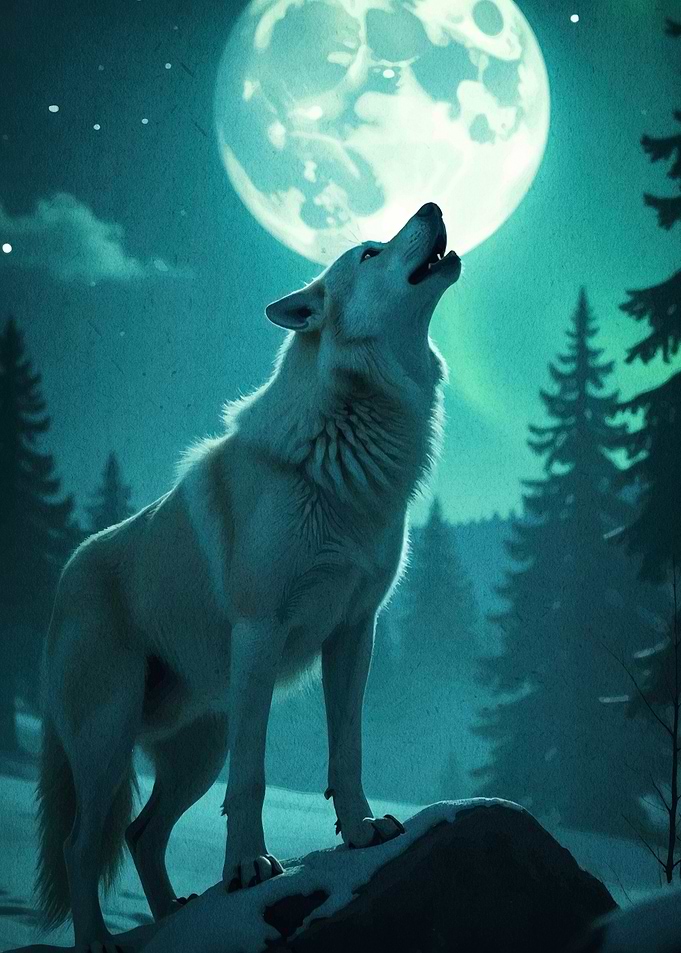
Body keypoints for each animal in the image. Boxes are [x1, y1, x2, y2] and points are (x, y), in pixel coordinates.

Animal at [34, 202, 462, 952]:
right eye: (370, 250)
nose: (434, 206)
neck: (348, 436)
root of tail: (67, 573)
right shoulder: (261, 631)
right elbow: (255, 778)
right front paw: (248, 868)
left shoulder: (354, 632)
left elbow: (347, 751)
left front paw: (360, 832)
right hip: (107, 740)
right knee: (80, 846)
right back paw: (102, 941)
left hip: (197, 748)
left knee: (142, 834)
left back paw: (174, 914)